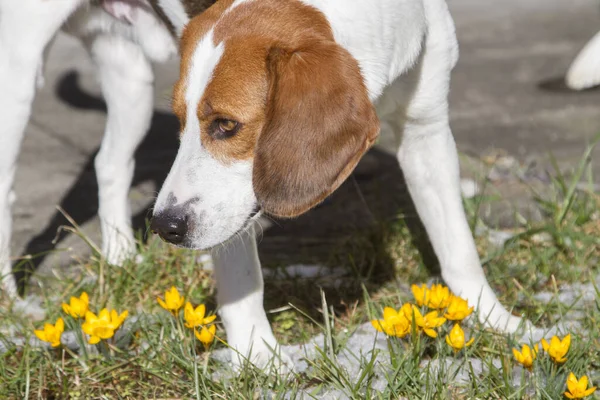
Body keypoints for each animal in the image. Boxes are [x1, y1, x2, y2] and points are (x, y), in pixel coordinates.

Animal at [146, 0, 540, 368]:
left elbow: (459, 248)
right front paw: (258, 355)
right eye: (180, 121)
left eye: (226, 125)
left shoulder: (427, 130)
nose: (164, 225)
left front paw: (493, 319)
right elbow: (239, 273)